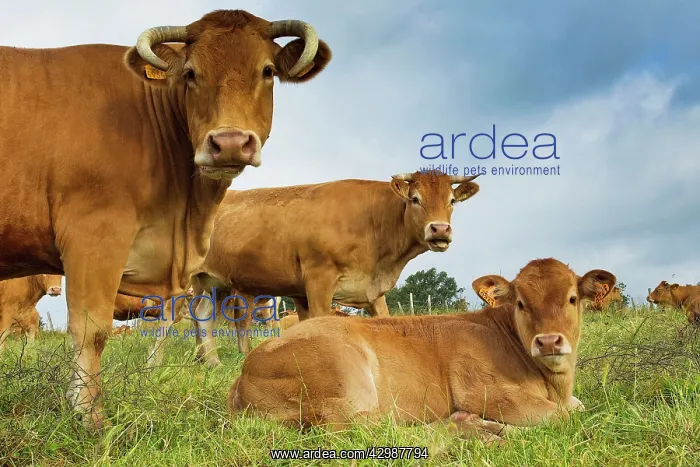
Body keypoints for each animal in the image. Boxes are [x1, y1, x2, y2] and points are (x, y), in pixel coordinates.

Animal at [0, 9, 331, 428]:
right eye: (190, 73)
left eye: (268, 70)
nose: (229, 143)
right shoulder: (95, 234)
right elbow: (91, 329)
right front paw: (90, 418)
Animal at [189, 170, 481, 364]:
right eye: (415, 199)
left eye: (451, 201)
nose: (440, 229)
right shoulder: (319, 280)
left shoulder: (371, 290)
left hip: (219, 283)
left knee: (204, 314)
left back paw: (213, 362)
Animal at [228, 258, 615, 441]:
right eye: (520, 303)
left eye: (572, 298)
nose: (548, 341)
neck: (553, 385)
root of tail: (245, 371)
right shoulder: (483, 390)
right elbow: (562, 417)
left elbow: (578, 408)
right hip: (346, 380)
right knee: (369, 430)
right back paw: (471, 427)